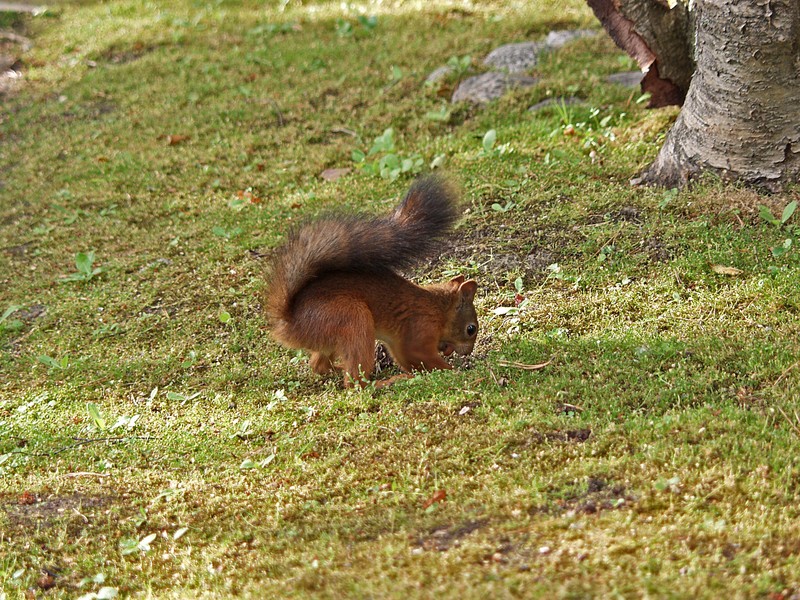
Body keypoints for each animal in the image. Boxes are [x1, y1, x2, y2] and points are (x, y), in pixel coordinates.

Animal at [268, 175, 482, 390]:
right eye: (470, 329)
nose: (468, 352)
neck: (438, 309)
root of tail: (290, 323)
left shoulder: (399, 342)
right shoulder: (419, 329)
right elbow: (419, 356)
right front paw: (453, 371)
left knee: (318, 365)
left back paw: (340, 370)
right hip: (352, 319)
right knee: (354, 382)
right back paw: (383, 383)